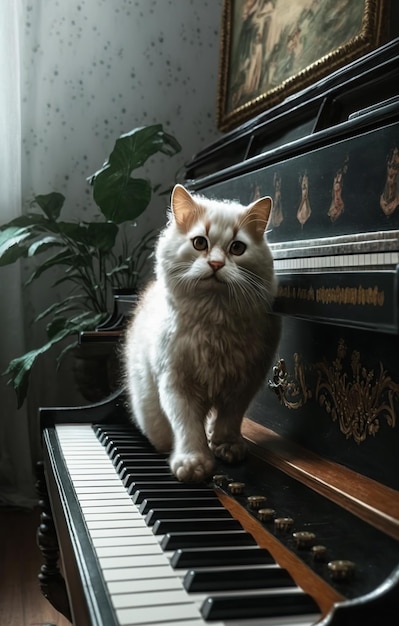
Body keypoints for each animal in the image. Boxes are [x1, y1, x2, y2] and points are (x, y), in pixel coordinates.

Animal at [123, 183, 282, 480]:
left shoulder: (244, 382)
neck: (214, 321)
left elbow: (229, 420)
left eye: (237, 248)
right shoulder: (176, 383)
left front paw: (226, 446)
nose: (217, 264)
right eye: (200, 243)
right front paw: (193, 462)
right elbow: (187, 426)